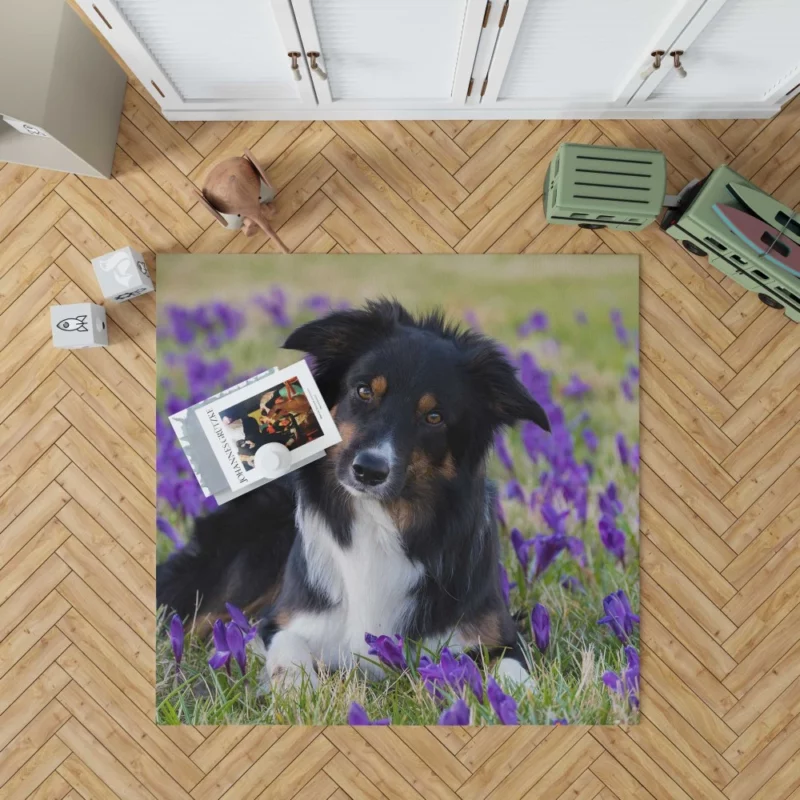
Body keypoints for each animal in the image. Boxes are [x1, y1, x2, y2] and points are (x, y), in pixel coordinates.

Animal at [160, 300, 552, 688]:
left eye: (435, 417)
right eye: (364, 391)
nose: (369, 470)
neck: (380, 520)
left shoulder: (498, 636)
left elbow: (514, 671)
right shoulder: (282, 620)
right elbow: (288, 649)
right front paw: (294, 690)